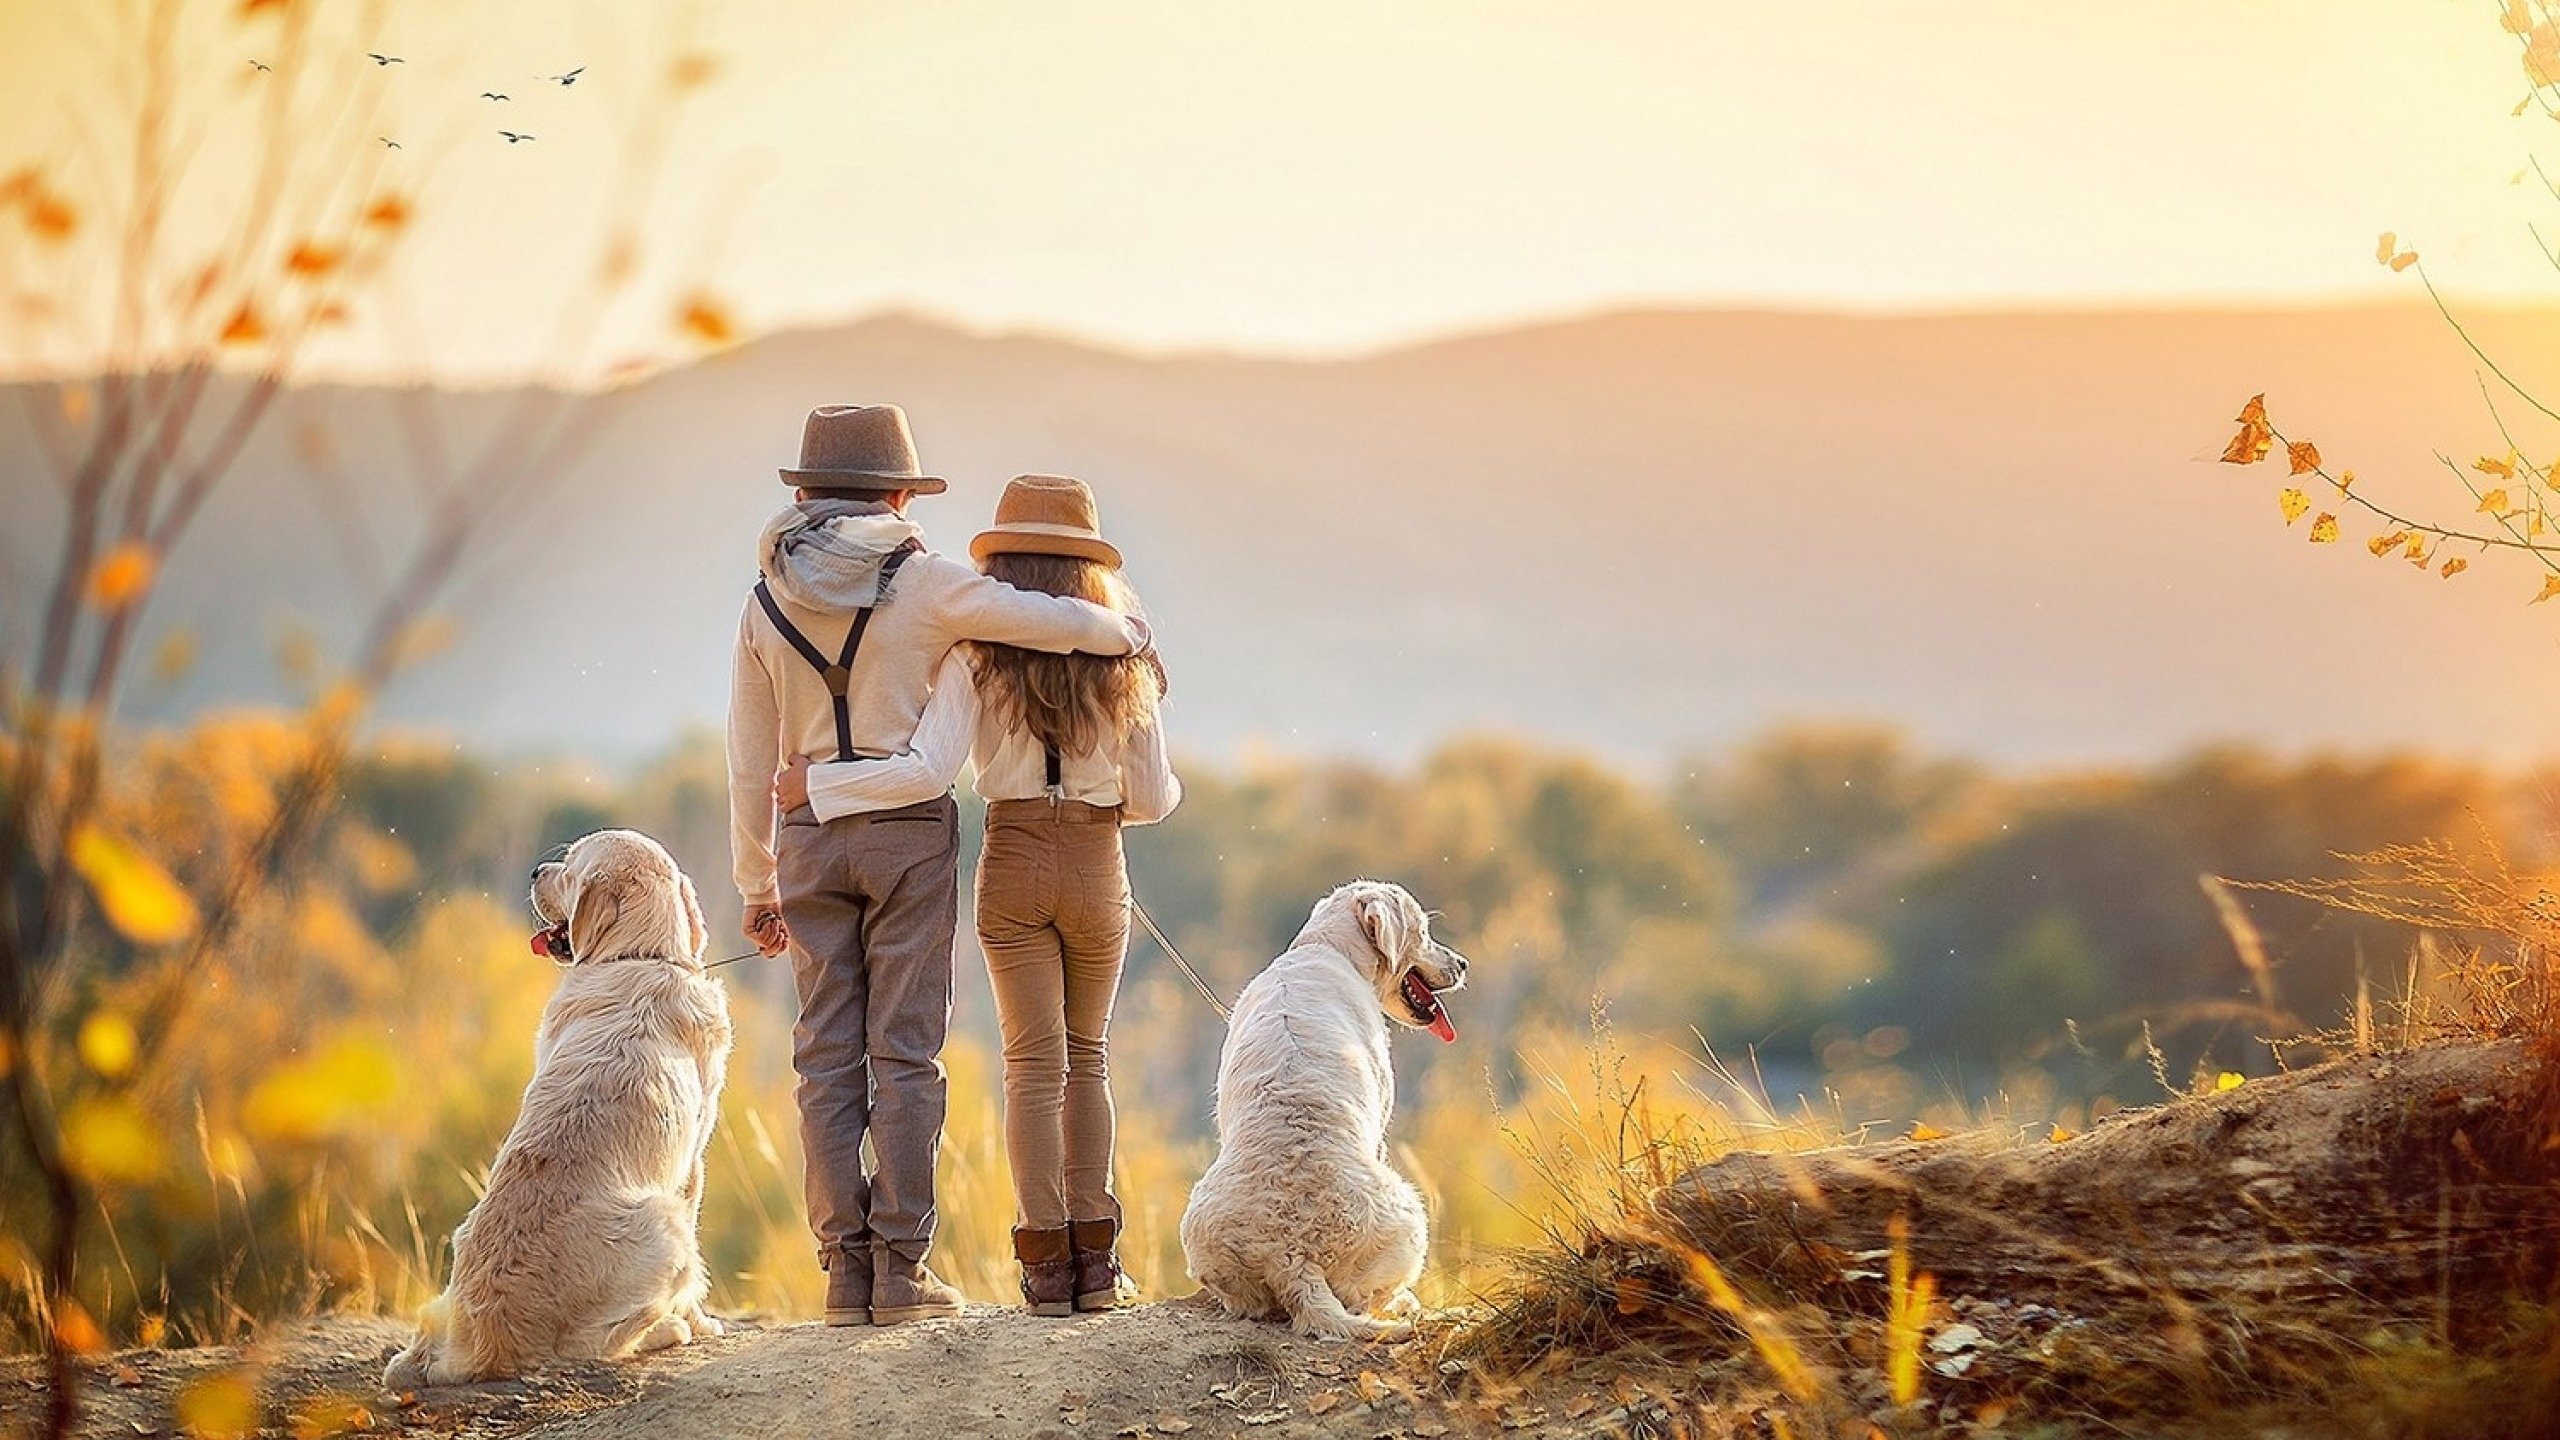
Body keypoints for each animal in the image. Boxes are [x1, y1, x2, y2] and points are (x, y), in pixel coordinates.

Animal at [384, 825, 737, 1383]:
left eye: (568, 870)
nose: (534, 872)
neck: (640, 954)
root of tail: (478, 1343)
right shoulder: (694, 1161)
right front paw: (702, 1322)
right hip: (665, 1221)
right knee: (593, 1345)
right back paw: (669, 1330)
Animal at [1172, 881, 1464, 1342]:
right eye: (1424, 931)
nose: (1463, 964)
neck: (1325, 948)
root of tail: (1292, 1258)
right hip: (1411, 1217)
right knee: (1366, 1298)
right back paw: (1403, 1303)